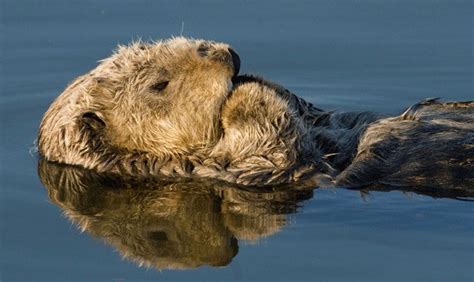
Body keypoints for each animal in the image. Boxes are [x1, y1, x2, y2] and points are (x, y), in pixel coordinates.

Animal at [38, 37, 474, 192]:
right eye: (159, 85)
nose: (226, 55)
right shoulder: (233, 170)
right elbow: (272, 149)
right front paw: (244, 93)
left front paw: (254, 79)